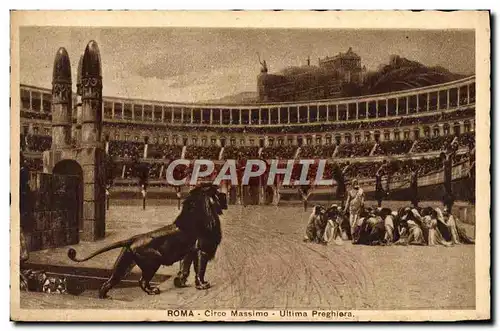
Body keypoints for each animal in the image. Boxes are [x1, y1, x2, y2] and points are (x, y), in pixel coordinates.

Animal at [67, 185, 228, 300]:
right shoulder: (202, 251)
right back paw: (152, 291)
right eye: (217, 193)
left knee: (109, 282)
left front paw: (180, 283)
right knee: (142, 281)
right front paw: (202, 285)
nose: (225, 195)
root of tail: (133, 239)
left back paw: (104, 297)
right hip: (153, 261)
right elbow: (200, 270)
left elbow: (185, 269)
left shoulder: (189, 253)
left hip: (124, 265)